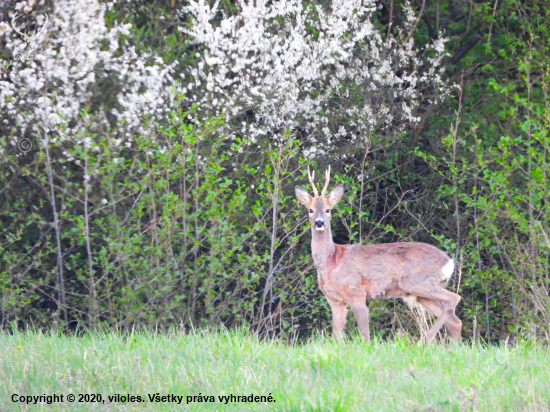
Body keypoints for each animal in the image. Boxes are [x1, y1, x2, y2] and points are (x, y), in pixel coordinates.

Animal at [296, 165, 464, 342]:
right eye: (311, 210)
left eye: (328, 210)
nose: (319, 222)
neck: (332, 260)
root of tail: (448, 261)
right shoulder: (334, 300)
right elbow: (336, 336)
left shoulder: (356, 291)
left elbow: (365, 334)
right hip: (421, 291)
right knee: (455, 321)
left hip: (418, 282)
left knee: (455, 299)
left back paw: (423, 341)